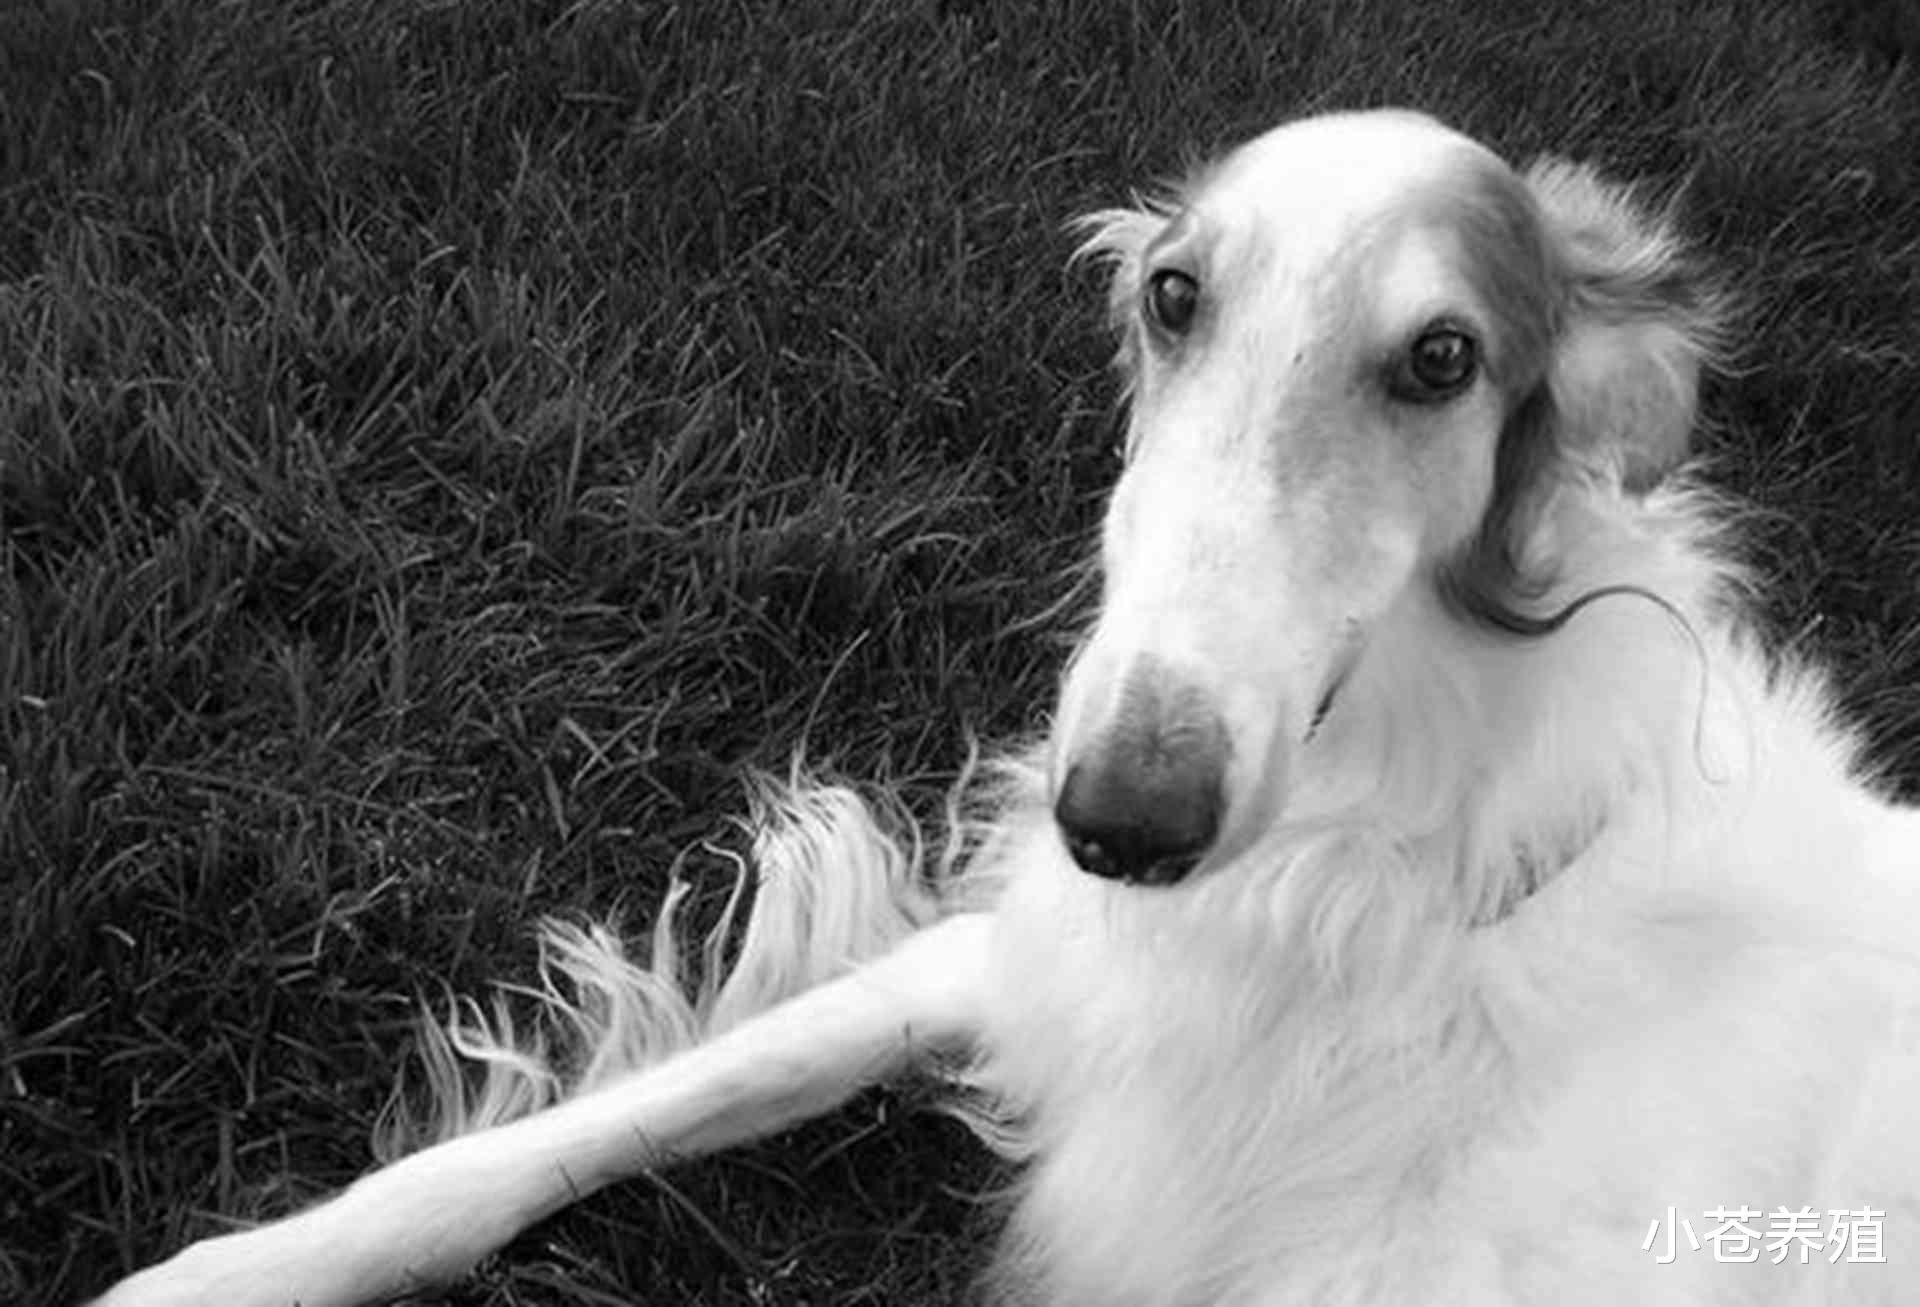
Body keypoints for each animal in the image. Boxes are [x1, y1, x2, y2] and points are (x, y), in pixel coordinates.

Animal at [97, 108, 1920, 1307]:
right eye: (1173, 297)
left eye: (1443, 358)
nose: (1121, 819)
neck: (1380, 878)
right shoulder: (1018, 959)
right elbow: (573, 1127)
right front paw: (226, 1268)